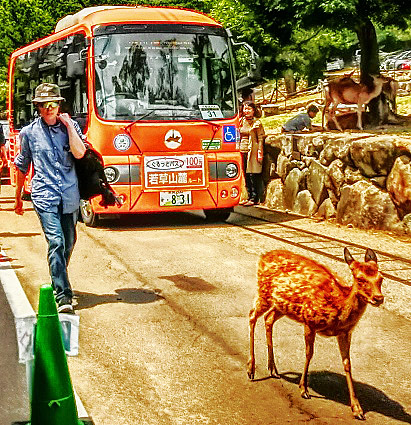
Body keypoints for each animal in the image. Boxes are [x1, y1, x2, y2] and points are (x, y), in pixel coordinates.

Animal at [247, 248, 384, 420]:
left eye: (381, 278)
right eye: (360, 279)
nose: (378, 298)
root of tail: (262, 257)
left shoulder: (345, 333)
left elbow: (347, 364)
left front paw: (357, 409)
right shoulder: (309, 321)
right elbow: (309, 354)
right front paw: (303, 389)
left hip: (281, 306)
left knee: (268, 318)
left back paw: (273, 369)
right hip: (264, 293)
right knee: (252, 315)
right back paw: (251, 369)